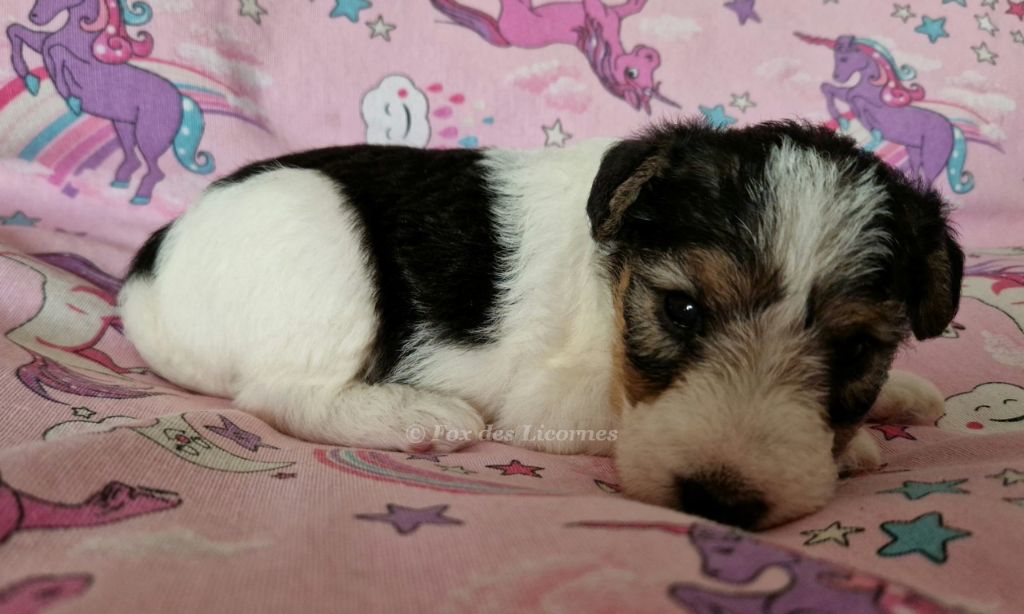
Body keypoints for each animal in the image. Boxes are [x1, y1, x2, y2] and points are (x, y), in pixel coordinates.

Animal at [6, 0, 214, 204]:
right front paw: (31, 81)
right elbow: (18, 32)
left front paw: (71, 100)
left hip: (149, 136)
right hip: (124, 126)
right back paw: (119, 184)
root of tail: (181, 98)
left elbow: (57, 52)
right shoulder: (43, 42)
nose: (34, 16)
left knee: (156, 172)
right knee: (133, 160)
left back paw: (140, 198)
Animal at [118, 120, 962, 529]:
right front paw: (861, 446)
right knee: (281, 394)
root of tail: (146, 274)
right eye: (683, 310)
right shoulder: (555, 401)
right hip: (322, 242)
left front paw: (901, 396)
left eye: (857, 351)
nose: (720, 502)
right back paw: (415, 415)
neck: (613, 276)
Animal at [430, 0, 678, 113]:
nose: (652, 55)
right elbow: (632, 7)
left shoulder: (604, 18)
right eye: (633, 73)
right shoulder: (611, 15)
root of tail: (505, 37)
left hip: (515, 14)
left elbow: (597, 7)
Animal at [796, 32, 975, 194]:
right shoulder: (848, 96)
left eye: (844, 59)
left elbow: (859, 105)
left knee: (929, 179)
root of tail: (952, 128)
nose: (838, 77)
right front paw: (844, 121)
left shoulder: (862, 102)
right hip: (914, 150)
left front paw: (870, 133)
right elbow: (828, 88)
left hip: (932, 157)